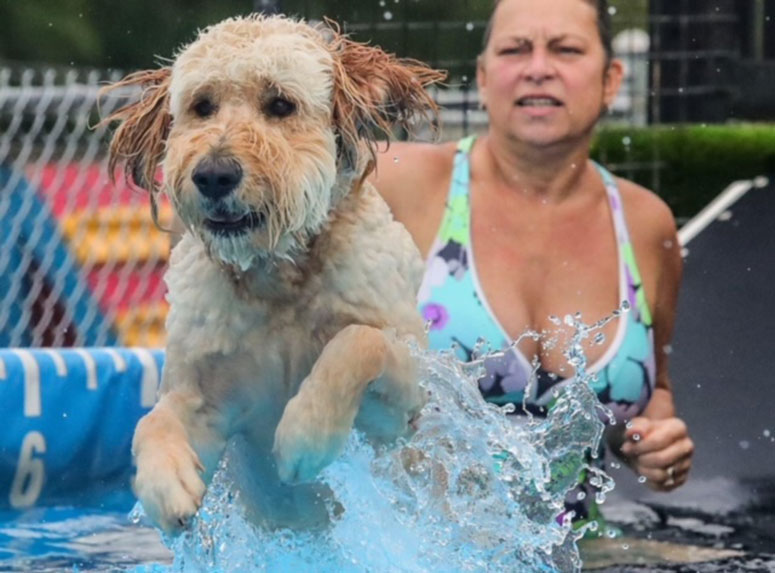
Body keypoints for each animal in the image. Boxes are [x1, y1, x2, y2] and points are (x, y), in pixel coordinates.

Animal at [104, 13, 442, 532]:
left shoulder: (399, 413)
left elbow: (358, 342)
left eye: (280, 103)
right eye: (202, 106)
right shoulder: (207, 403)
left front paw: (306, 437)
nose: (214, 175)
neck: (277, 276)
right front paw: (165, 482)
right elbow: (152, 420)